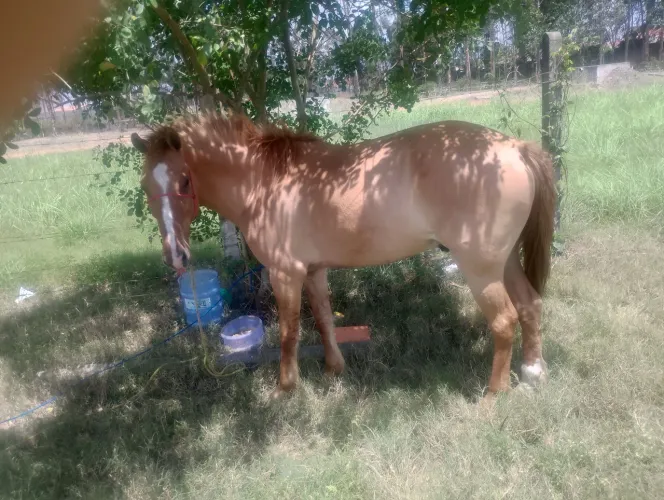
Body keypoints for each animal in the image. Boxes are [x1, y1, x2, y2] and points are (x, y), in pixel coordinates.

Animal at [130, 112, 555, 398]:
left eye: (184, 181)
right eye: (146, 184)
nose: (176, 256)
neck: (263, 183)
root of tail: (514, 148)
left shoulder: (285, 273)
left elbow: (289, 332)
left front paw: (286, 387)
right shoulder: (314, 271)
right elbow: (322, 320)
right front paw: (334, 369)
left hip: (480, 268)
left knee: (504, 321)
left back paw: (494, 394)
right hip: (504, 261)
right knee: (530, 305)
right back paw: (533, 371)